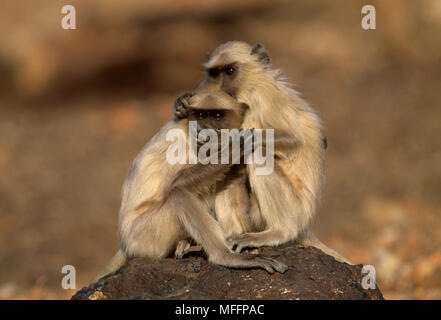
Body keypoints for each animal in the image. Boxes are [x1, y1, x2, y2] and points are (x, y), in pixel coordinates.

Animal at [91, 84, 288, 284]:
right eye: (201, 115)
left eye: (217, 115)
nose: (206, 128)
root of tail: (124, 243)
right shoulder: (178, 140)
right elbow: (175, 184)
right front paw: (235, 146)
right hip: (145, 236)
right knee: (179, 193)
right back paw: (225, 257)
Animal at [175, 41, 350, 264]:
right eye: (214, 73)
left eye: (230, 71)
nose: (221, 87)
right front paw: (181, 105)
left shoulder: (264, 94)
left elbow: (293, 138)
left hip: (296, 209)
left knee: (257, 153)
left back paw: (279, 232)